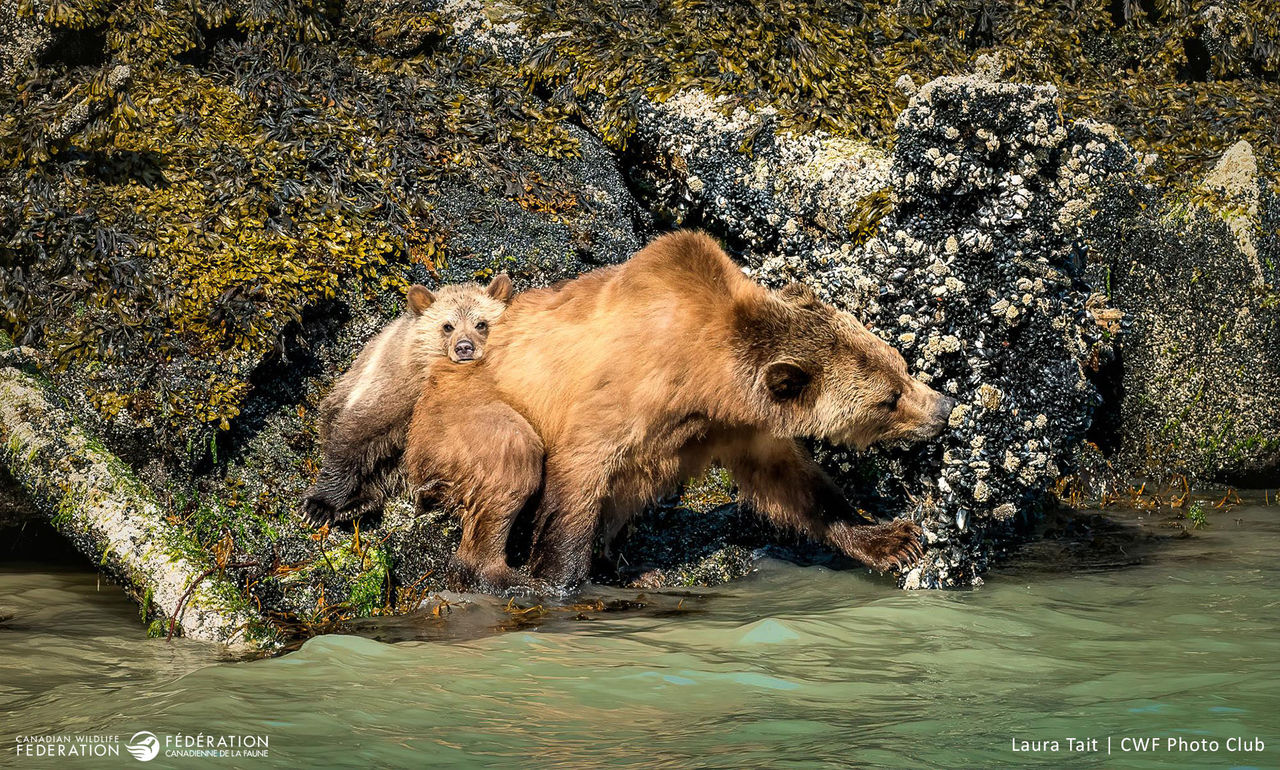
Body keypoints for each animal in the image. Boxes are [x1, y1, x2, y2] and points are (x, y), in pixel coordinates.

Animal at [301, 273, 513, 527]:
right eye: (447, 326)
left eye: (481, 323)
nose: (464, 347)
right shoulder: (396, 388)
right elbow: (356, 436)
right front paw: (318, 505)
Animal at [403, 230, 955, 592]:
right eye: (888, 399)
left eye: (900, 365)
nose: (945, 407)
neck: (703, 374)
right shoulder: (622, 391)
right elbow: (579, 472)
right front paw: (557, 579)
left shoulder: (736, 425)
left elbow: (793, 483)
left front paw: (895, 539)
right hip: (460, 415)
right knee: (511, 456)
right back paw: (499, 572)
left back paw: (630, 567)